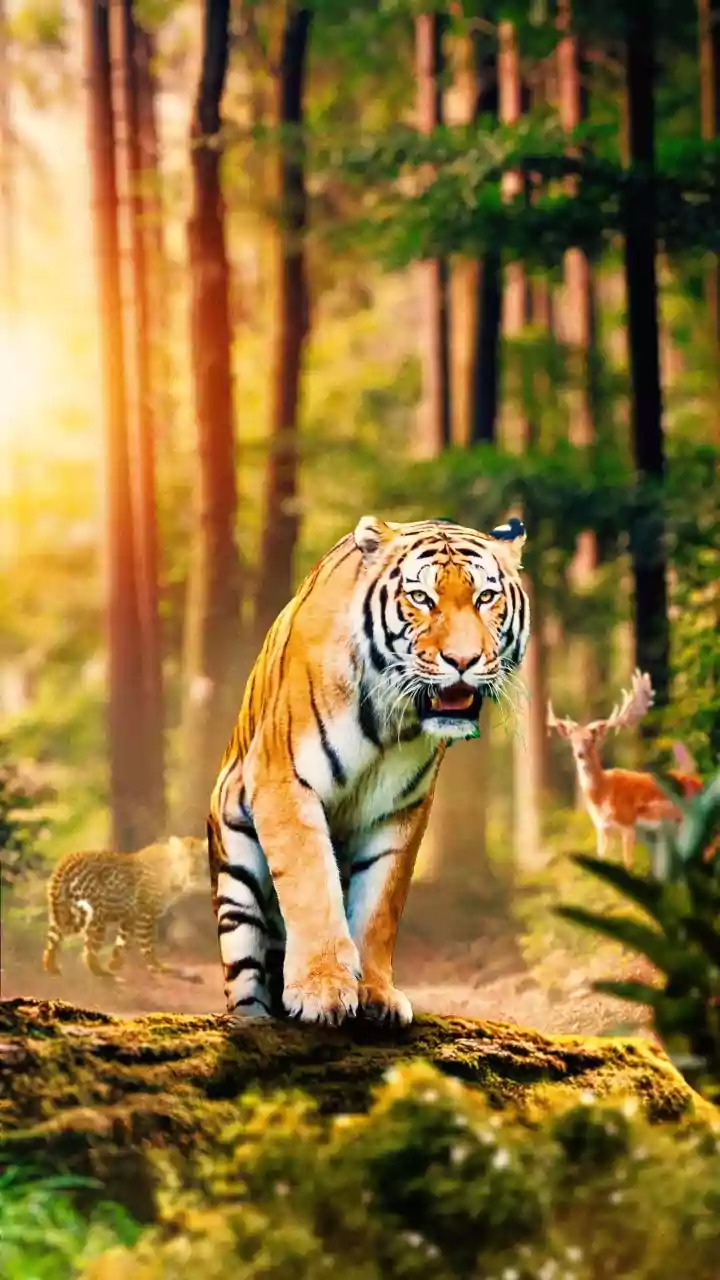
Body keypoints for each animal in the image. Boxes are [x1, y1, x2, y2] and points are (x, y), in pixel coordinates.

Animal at [42, 834, 208, 980]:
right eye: (182, 858)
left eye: (199, 859)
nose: (192, 872)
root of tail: (66, 860)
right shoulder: (145, 914)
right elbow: (147, 945)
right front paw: (157, 967)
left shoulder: (130, 916)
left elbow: (123, 941)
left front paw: (115, 963)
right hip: (96, 918)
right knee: (89, 951)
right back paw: (101, 973)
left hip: (60, 912)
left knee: (51, 943)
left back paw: (51, 968)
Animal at [207, 514, 530, 1028]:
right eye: (421, 599)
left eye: (485, 597)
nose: (463, 661)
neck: (390, 717)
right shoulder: (284, 782)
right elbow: (310, 885)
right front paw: (321, 989)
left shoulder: (401, 807)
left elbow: (380, 903)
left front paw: (375, 994)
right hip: (236, 885)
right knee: (246, 978)